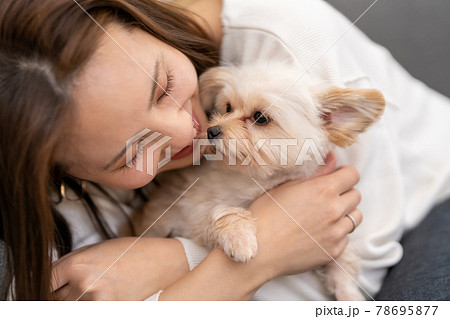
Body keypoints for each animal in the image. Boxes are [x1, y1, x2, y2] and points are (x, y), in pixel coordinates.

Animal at [132, 61, 384, 302]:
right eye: (228, 108)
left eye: (260, 118)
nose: (212, 130)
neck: (265, 179)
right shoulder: (194, 211)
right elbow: (225, 211)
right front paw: (240, 239)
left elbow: (342, 261)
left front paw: (349, 293)